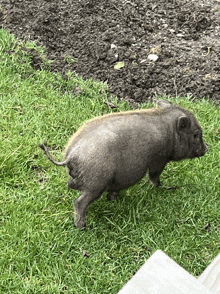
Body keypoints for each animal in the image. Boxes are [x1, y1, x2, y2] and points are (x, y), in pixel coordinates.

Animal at [39, 100, 208, 229]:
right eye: (195, 134)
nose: (206, 147)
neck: (170, 133)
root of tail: (71, 155)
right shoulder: (159, 159)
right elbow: (154, 176)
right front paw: (163, 188)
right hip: (96, 183)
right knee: (79, 203)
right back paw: (83, 227)